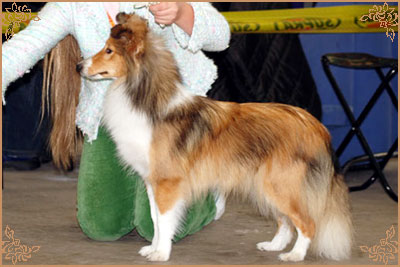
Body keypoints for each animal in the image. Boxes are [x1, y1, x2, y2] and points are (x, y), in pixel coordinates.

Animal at [78, 13, 354, 264]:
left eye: (109, 50)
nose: (78, 66)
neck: (147, 100)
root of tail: (314, 124)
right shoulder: (152, 180)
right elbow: (156, 219)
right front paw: (153, 248)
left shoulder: (167, 182)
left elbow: (164, 220)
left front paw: (161, 253)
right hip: (267, 184)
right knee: (286, 220)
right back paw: (273, 245)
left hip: (280, 183)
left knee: (307, 222)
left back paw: (294, 255)